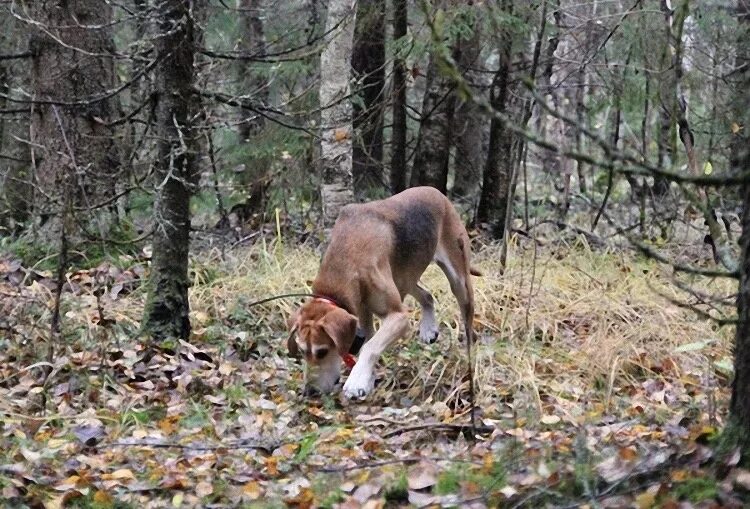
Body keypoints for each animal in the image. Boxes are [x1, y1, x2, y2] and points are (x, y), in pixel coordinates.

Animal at [288, 185, 482, 398]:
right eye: (302, 351)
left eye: (322, 351)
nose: (309, 392)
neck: (347, 256)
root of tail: (436, 192)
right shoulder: (363, 314)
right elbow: (368, 342)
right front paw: (367, 379)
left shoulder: (398, 317)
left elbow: (370, 347)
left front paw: (356, 380)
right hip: (405, 278)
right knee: (427, 296)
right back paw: (428, 328)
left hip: (459, 280)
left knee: (467, 323)